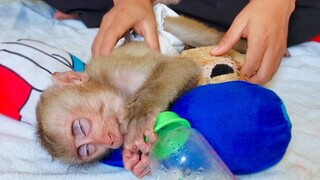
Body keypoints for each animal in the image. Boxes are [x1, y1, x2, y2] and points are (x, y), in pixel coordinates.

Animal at [35, 16, 248, 177]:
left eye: (80, 126)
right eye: (88, 150)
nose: (110, 140)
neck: (116, 90)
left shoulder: (114, 69)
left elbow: (180, 66)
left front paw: (140, 114)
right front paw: (139, 162)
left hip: (167, 23)